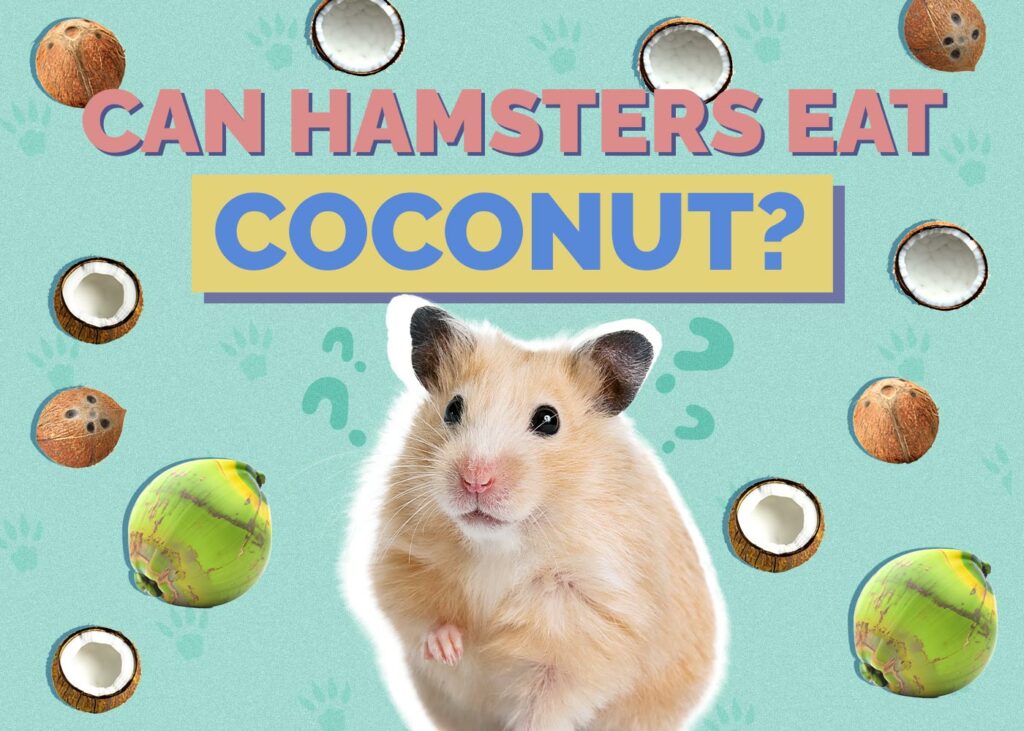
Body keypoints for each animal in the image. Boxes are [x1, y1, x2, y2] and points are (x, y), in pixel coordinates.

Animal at [343, 296, 726, 731]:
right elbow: (418, 613)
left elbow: (549, 698)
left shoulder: (589, 623)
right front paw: (450, 649)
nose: (475, 479)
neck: (499, 544)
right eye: (453, 409)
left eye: (548, 420)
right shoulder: (402, 556)